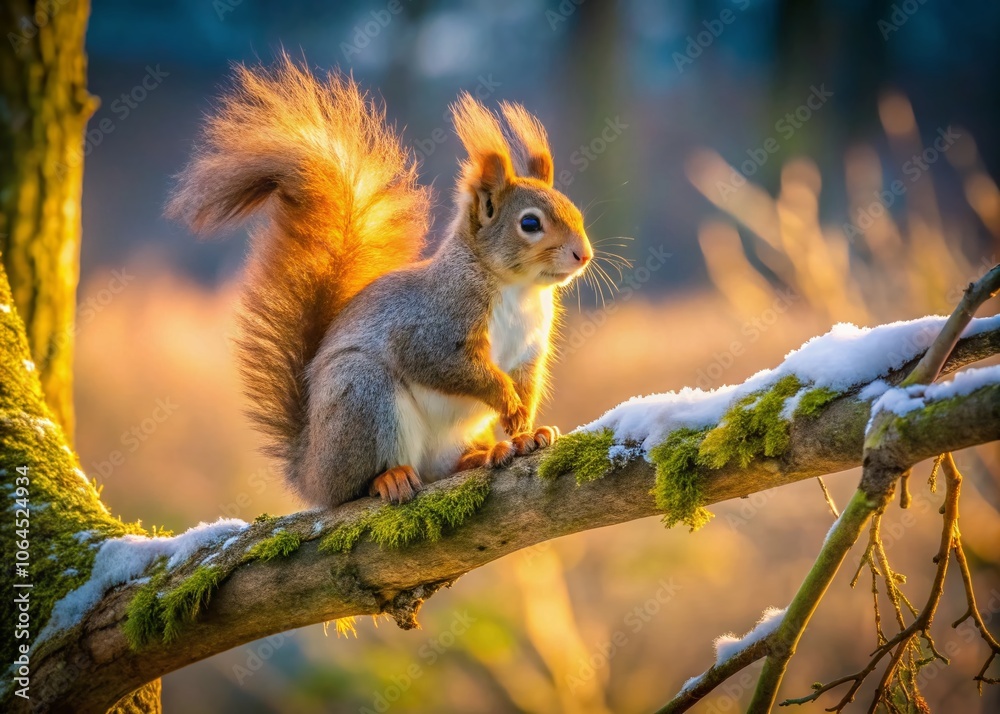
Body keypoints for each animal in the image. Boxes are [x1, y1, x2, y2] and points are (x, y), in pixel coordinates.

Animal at [167, 56, 594, 509]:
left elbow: (527, 384)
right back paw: (388, 478)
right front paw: (506, 400)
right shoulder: (432, 325)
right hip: (363, 396)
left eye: (575, 210)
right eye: (530, 223)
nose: (583, 254)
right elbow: (447, 364)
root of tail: (310, 471)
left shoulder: (529, 349)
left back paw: (483, 453)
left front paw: (526, 430)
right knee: (356, 484)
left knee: (444, 467)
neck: (518, 289)